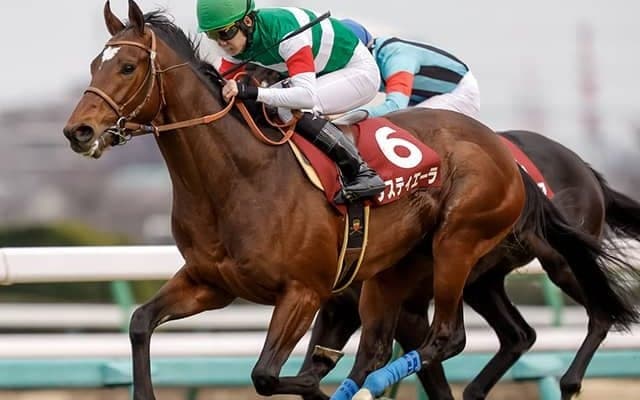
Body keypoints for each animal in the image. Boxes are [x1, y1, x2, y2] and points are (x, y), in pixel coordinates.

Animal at [290, 130, 640, 400]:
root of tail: (585, 167)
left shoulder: (408, 311)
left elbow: (433, 382)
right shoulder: (339, 310)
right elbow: (305, 375)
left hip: (560, 261)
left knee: (601, 313)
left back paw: (569, 382)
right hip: (479, 284)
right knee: (520, 334)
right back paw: (477, 388)